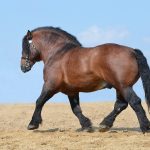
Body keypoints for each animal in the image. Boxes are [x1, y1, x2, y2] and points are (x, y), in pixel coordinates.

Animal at [20, 26, 150, 133]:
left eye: (25, 46)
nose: (23, 67)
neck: (58, 53)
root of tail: (132, 51)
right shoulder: (71, 91)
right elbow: (76, 109)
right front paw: (86, 125)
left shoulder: (50, 85)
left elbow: (39, 101)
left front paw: (32, 124)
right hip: (120, 87)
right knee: (121, 104)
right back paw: (105, 124)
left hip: (124, 86)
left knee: (135, 102)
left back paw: (145, 127)